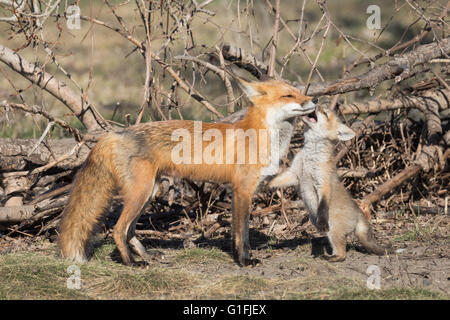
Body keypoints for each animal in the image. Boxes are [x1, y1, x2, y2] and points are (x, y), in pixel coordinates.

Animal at [59, 79, 318, 266]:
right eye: (288, 95)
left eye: (299, 92)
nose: (315, 99)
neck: (260, 135)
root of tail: (113, 134)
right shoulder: (243, 189)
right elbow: (242, 232)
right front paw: (244, 261)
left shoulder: (237, 191)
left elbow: (235, 230)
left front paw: (237, 257)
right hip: (140, 193)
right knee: (118, 230)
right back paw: (131, 263)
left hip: (149, 192)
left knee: (130, 230)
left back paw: (147, 256)